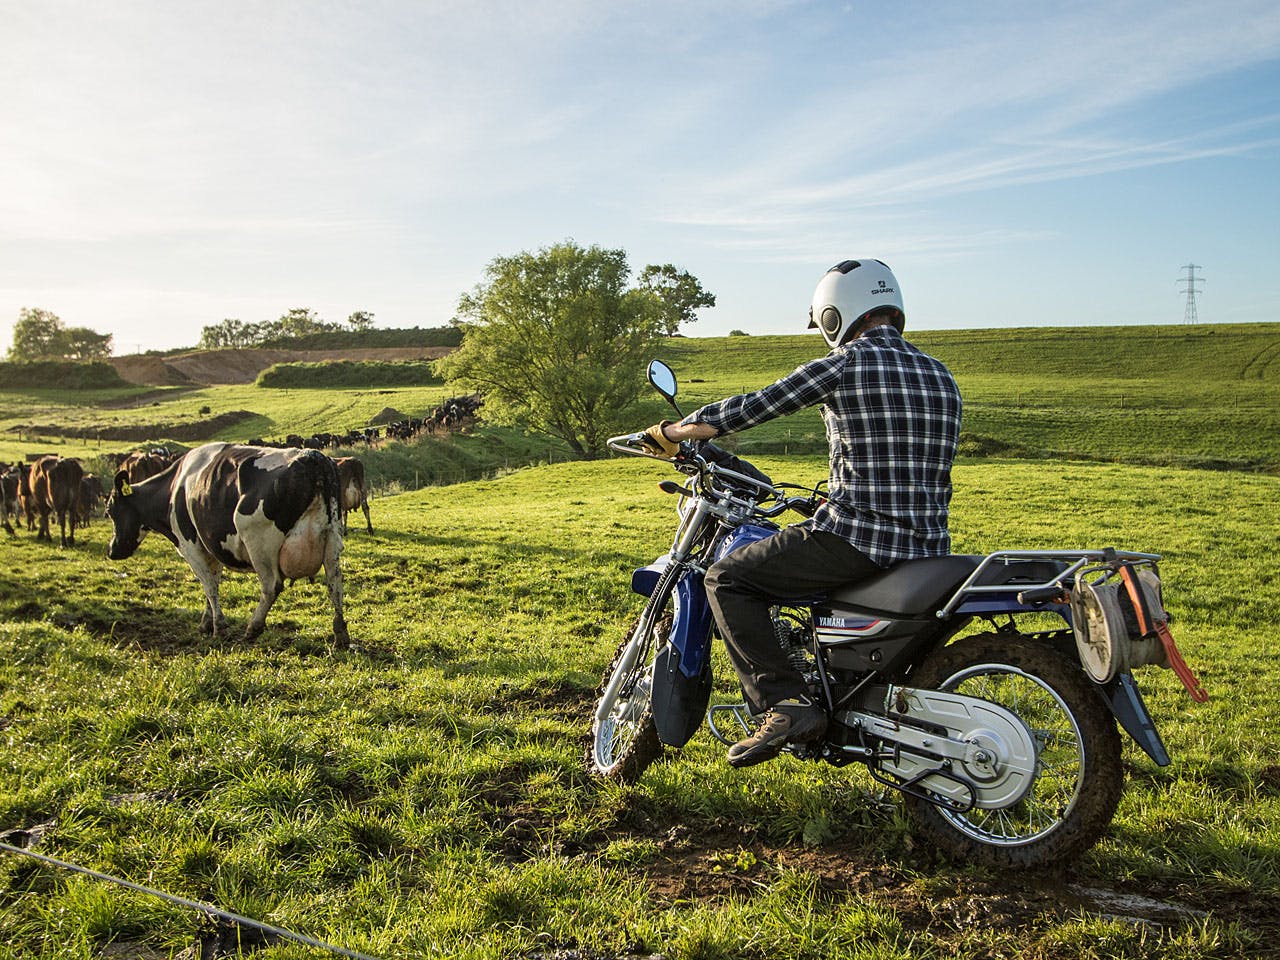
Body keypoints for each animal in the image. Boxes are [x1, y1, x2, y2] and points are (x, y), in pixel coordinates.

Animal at [105, 442, 348, 647]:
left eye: (110, 511)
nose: (112, 550)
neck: (174, 488)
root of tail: (313, 456)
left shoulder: (190, 545)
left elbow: (209, 586)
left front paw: (218, 627)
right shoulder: (212, 547)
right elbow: (211, 583)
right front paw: (206, 622)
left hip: (259, 543)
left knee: (271, 585)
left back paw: (253, 628)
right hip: (332, 538)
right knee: (334, 582)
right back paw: (340, 634)